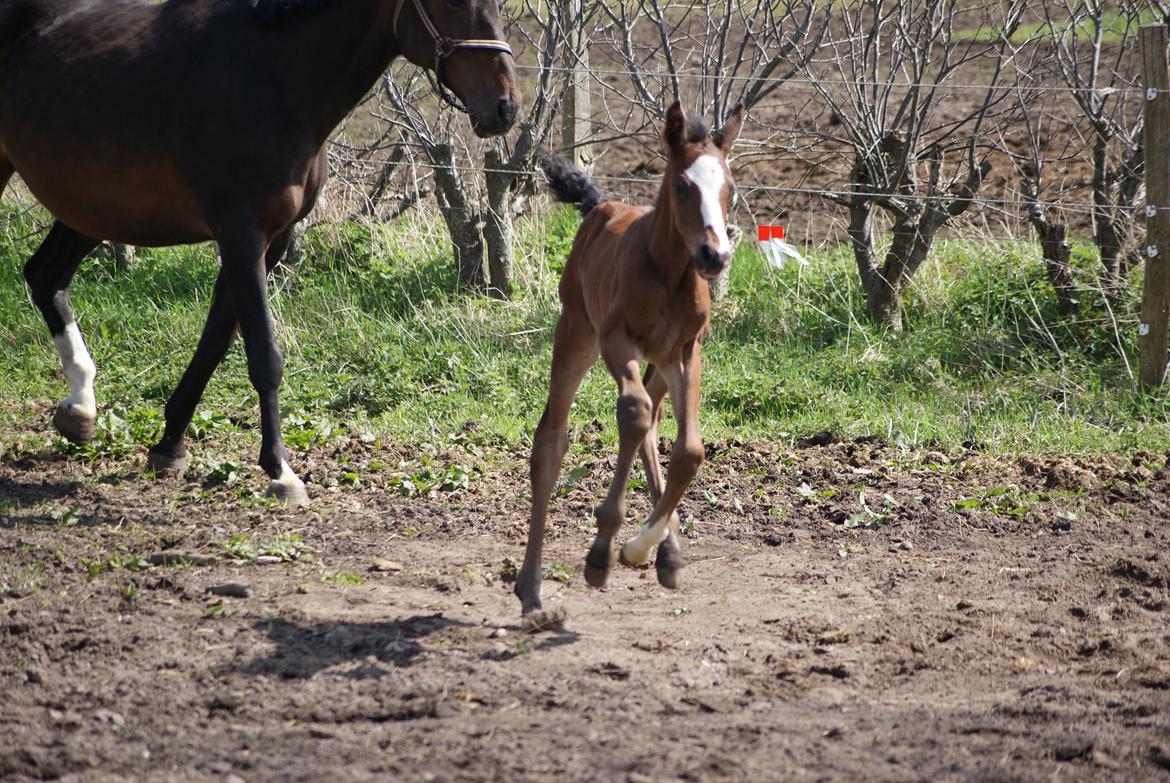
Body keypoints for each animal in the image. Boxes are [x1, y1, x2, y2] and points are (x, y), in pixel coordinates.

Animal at [0, 0, 521, 503]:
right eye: (454, 3)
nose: (505, 108)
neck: (276, 78)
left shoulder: (272, 240)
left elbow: (216, 340)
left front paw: (170, 445)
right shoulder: (241, 234)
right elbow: (263, 355)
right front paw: (281, 471)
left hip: (93, 207)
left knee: (46, 275)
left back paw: (80, 407)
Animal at [517, 100, 744, 617]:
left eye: (730, 188)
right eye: (681, 184)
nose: (715, 255)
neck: (670, 275)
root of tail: (601, 205)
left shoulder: (686, 351)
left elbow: (689, 449)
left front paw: (641, 545)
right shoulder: (616, 341)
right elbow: (633, 414)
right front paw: (603, 553)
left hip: (657, 365)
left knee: (653, 427)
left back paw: (667, 554)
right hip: (576, 333)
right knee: (554, 440)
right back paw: (530, 588)